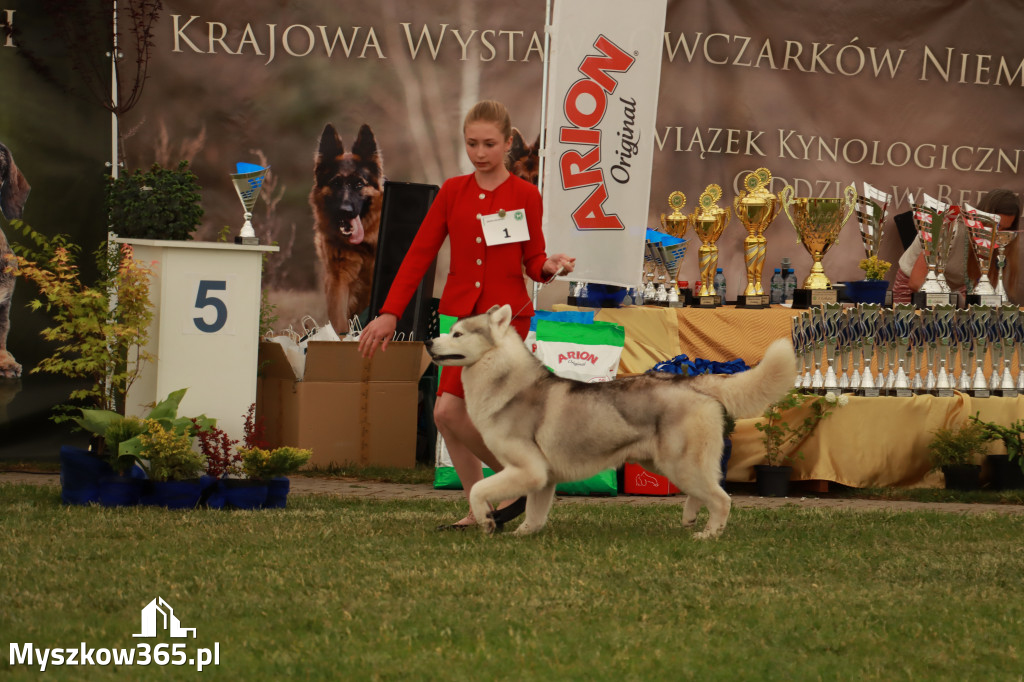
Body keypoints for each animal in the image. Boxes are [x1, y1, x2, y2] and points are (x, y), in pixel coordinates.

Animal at [428, 303, 794, 536]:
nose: (430, 340)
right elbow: (534, 513)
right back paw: (691, 518)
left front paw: (487, 521)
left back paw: (709, 535)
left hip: (680, 464)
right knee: (705, 490)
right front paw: (522, 532)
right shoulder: (544, 478)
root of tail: (689, 380)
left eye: (458, 334)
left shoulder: (529, 470)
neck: (506, 380)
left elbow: (478, 489)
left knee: (721, 499)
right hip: (667, 463)